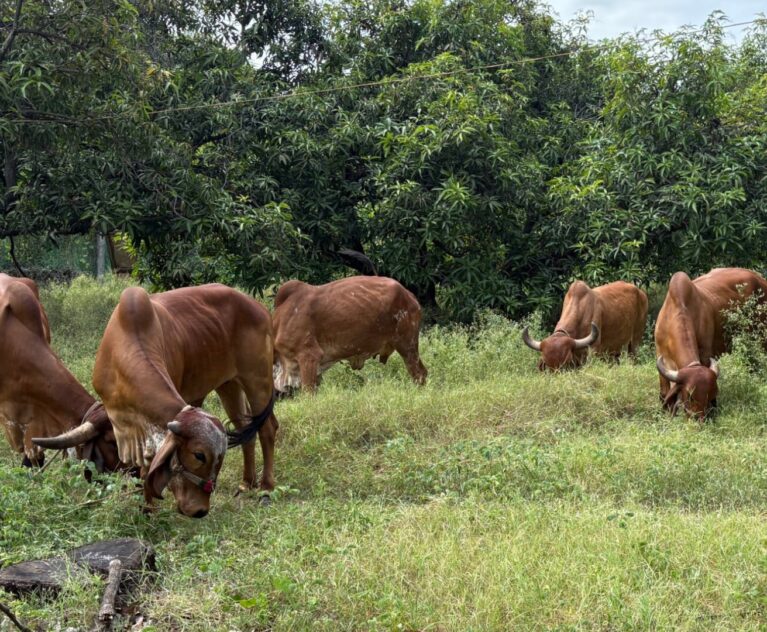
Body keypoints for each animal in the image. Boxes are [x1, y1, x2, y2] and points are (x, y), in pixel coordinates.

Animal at [35, 284, 277, 518]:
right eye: (199, 455)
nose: (200, 511)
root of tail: (260, 308)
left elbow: (147, 467)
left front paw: (149, 510)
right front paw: (146, 509)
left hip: (258, 379)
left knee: (267, 428)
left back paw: (266, 488)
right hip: (228, 384)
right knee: (245, 428)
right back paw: (246, 483)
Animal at [654, 267, 767, 418]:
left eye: (712, 394)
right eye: (690, 395)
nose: (699, 419)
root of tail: (760, 279)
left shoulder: (705, 354)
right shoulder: (660, 355)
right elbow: (664, 394)